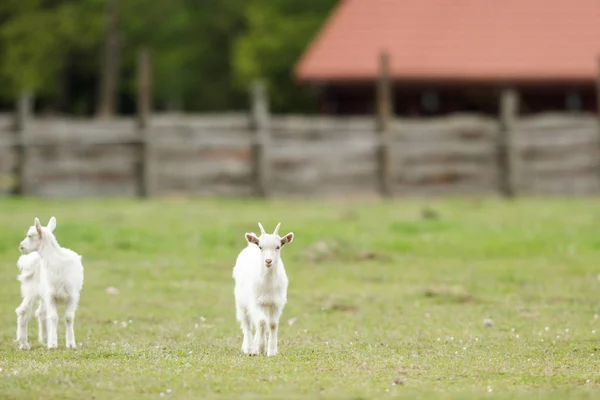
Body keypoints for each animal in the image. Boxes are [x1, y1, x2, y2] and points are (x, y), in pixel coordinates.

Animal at [232, 222, 292, 356]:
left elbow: (272, 324)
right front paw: (259, 348)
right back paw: (249, 347)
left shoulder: (276, 303)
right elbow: (261, 322)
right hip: (241, 302)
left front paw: (271, 351)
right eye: (260, 247)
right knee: (247, 323)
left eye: (278, 247)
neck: (268, 284)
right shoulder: (255, 302)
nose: (268, 261)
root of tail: (250, 245)